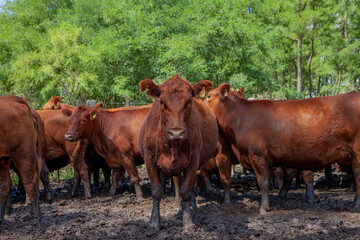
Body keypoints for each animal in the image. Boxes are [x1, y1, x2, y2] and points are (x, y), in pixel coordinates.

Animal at [0, 95, 40, 223]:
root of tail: (14, 98)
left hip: (24, 152)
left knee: (30, 181)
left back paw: (36, 217)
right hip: (4, 158)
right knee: (4, 185)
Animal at [138, 74, 218, 230]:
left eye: (190, 101)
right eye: (161, 101)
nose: (176, 132)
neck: (172, 145)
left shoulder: (193, 161)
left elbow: (186, 190)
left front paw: (188, 222)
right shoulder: (150, 160)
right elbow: (156, 191)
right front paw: (154, 222)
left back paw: (192, 207)